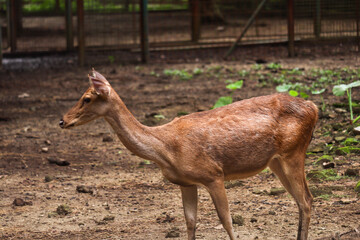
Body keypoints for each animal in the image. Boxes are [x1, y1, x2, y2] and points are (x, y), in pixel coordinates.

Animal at [59, 69, 318, 240]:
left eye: (87, 98)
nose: (62, 120)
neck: (167, 150)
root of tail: (313, 107)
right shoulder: (186, 182)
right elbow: (190, 222)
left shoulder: (214, 174)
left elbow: (227, 220)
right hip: (276, 161)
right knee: (301, 200)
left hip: (294, 152)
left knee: (306, 199)